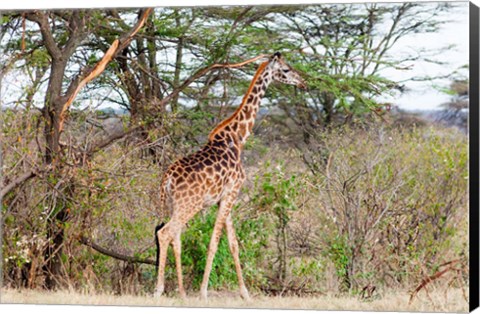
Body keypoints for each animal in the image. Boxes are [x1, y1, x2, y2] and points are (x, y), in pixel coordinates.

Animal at [155, 51, 308, 300]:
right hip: (190, 204)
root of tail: (166, 178)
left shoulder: (224, 198)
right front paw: (204, 293)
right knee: (165, 233)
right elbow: (215, 243)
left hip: (174, 204)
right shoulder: (232, 192)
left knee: (173, 236)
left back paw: (181, 292)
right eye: (285, 70)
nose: (303, 82)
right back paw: (159, 290)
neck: (238, 138)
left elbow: (234, 243)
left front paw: (245, 294)